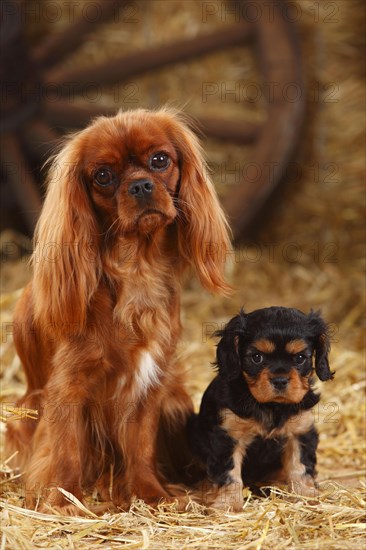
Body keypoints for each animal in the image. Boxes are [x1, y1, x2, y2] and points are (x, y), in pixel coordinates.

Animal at [189, 308, 334, 512]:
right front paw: (229, 505)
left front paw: (307, 496)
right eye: (257, 357)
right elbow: (229, 474)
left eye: (300, 358)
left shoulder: (300, 431)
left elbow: (300, 467)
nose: (280, 380)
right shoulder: (227, 437)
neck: (271, 405)